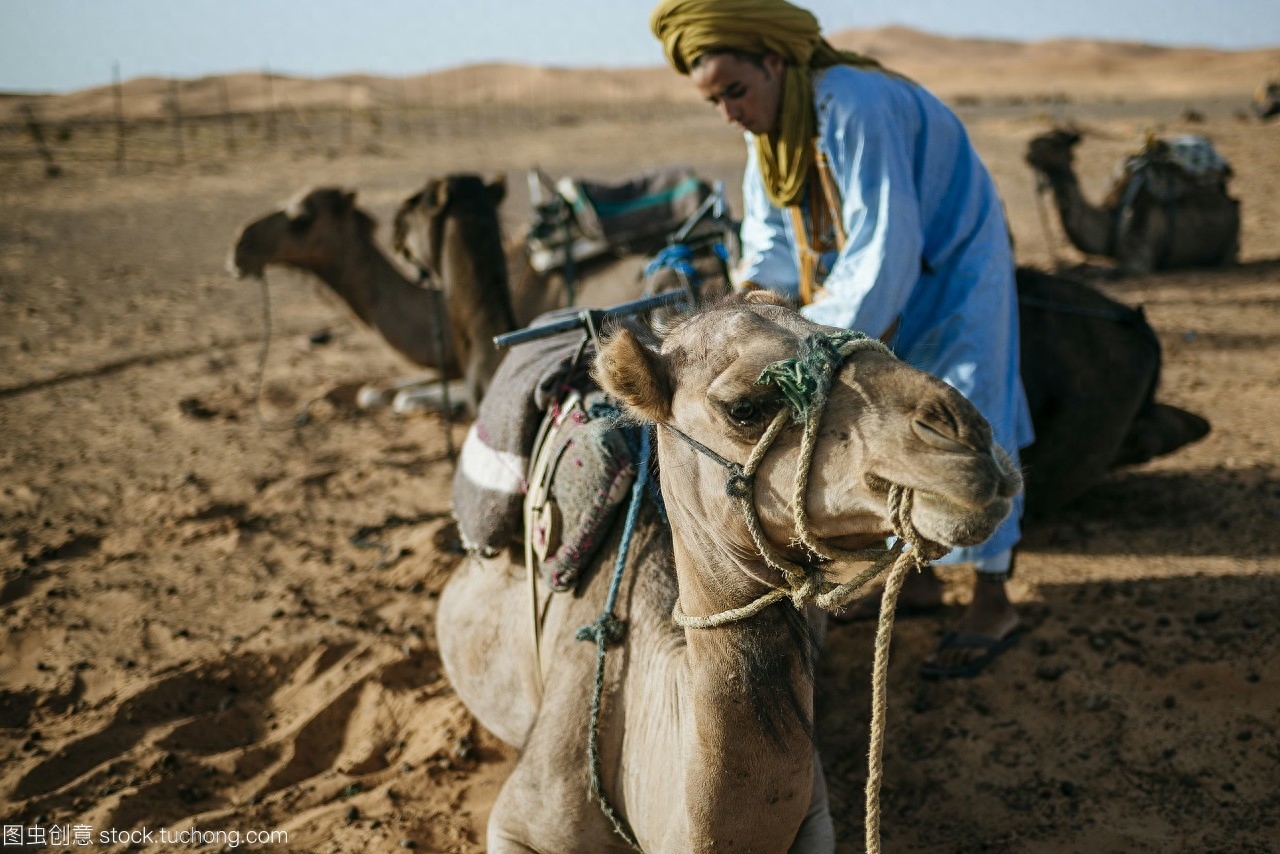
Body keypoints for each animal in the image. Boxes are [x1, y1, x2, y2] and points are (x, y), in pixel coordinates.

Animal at [1018, 128, 1239, 273]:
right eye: (1036, 140)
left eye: (1055, 142)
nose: (1029, 150)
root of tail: (1230, 198)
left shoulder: (1138, 262)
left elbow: (1095, 270)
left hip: (1230, 247)